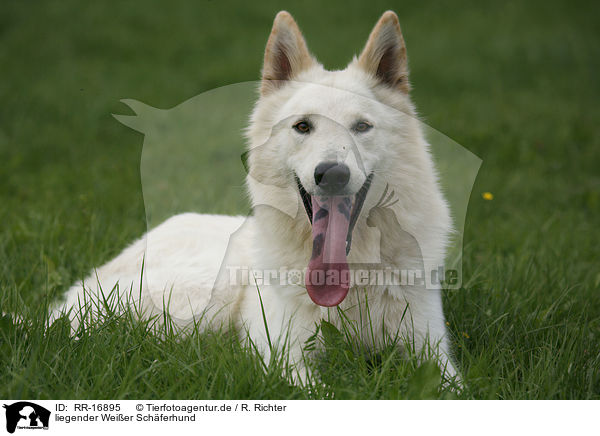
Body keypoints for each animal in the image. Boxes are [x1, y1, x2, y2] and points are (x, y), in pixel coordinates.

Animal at [57, 11, 460, 382]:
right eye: (303, 127)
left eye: (362, 127)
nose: (332, 174)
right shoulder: (287, 355)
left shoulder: (433, 351)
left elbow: (455, 387)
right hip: (211, 297)